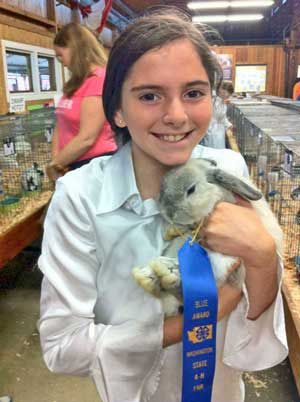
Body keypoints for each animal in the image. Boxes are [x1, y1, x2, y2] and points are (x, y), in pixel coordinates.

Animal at [132, 158, 282, 318]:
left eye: (191, 189)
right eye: (163, 189)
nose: (169, 213)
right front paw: (171, 232)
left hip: (223, 262)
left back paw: (161, 274)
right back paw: (150, 276)